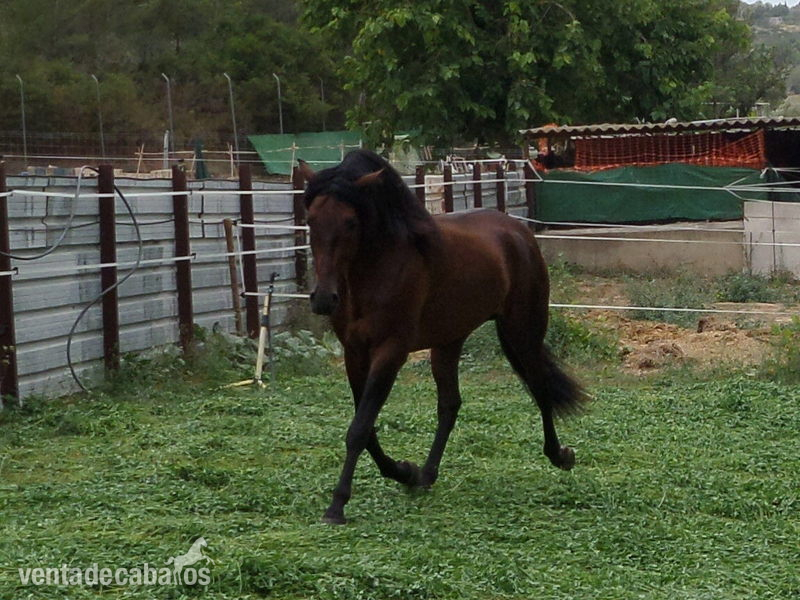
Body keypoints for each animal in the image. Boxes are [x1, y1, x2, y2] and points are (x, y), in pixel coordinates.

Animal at [298, 150, 588, 524]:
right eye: (310, 220)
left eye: (350, 222)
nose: (323, 299)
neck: (377, 271)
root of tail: (517, 230)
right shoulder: (354, 353)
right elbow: (366, 427)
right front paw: (404, 472)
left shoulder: (391, 351)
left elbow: (360, 427)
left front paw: (337, 506)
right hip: (449, 340)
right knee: (450, 405)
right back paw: (426, 474)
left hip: (523, 331)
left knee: (539, 387)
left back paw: (560, 455)